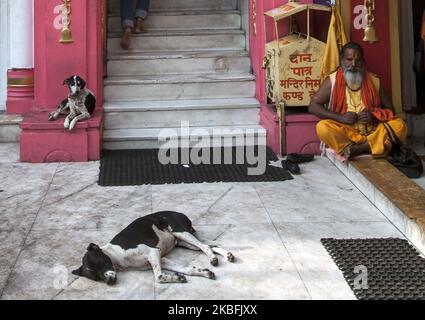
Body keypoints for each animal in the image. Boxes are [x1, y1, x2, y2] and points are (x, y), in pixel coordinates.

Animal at [71, 211, 234, 284]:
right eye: (96, 278)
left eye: (100, 263)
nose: (109, 282)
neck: (115, 255)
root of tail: (179, 213)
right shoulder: (162, 258)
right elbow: (187, 270)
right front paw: (202, 273)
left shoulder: (153, 252)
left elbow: (159, 277)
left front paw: (174, 277)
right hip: (185, 241)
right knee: (211, 245)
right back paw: (227, 255)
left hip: (181, 232)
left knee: (205, 246)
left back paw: (213, 258)